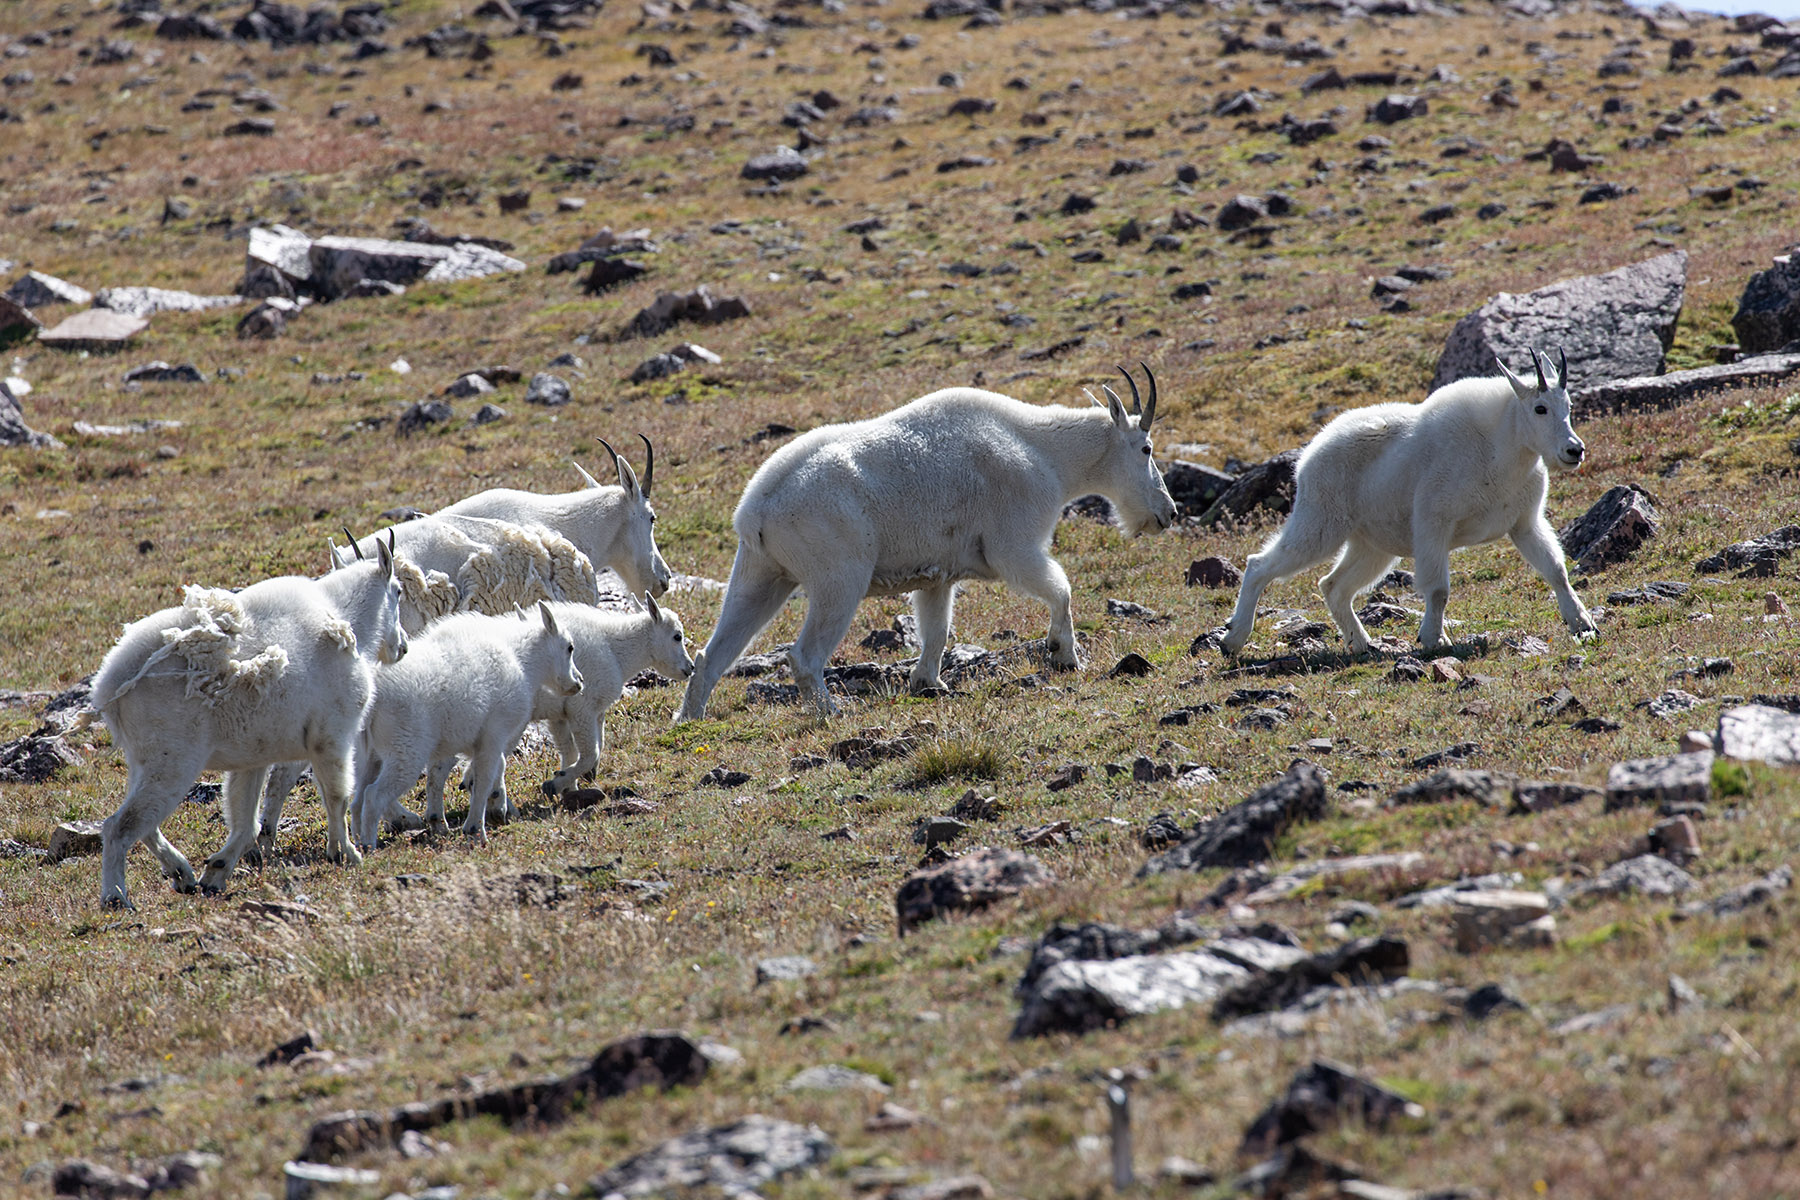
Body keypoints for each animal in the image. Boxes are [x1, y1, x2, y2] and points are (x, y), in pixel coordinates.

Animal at [86, 548, 406, 909]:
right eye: (398, 591)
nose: (402, 646)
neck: (348, 619)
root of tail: (109, 683)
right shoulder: (332, 737)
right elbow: (337, 796)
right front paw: (346, 854)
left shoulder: (254, 756)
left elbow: (245, 819)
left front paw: (216, 872)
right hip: (172, 760)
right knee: (120, 825)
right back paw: (116, 896)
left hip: (142, 760)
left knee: (145, 824)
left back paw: (182, 875)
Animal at [353, 601, 581, 849]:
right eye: (569, 647)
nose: (578, 682)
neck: (524, 664)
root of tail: (373, 699)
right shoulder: (494, 736)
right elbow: (484, 779)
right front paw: (476, 829)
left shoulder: (466, 743)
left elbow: (455, 775)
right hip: (406, 750)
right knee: (373, 795)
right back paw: (368, 845)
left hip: (369, 754)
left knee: (357, 797)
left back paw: (355, 844)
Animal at [674, 367, 1177, 720]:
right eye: (1147, 449)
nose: (1168, 513)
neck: (1045, 452)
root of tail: (757, 510)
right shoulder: (1013, 545)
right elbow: (1061, 588)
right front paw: (1064, 655)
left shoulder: (937, 576)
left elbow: (937, 629)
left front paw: (927, 683)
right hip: (838, 577)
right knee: (805, 655)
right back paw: (831, 711)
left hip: (760, 571)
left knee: (714, 652)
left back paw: (689, 717)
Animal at [1220, 350, 1597, 658]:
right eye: (1539, 408)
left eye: (1569, 408)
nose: (1574, 450)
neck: (1501, 450)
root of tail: (1309, 455)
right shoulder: (1433, 522)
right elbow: (1438, 589)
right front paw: (1433, 638)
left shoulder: (1524, 523)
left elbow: (1556, 569)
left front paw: (1583, 624)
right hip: (1320, 523)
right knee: (1259, 565)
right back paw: (1233, 639)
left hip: (1371, 545)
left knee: (1333, 585)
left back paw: (1361, 643)